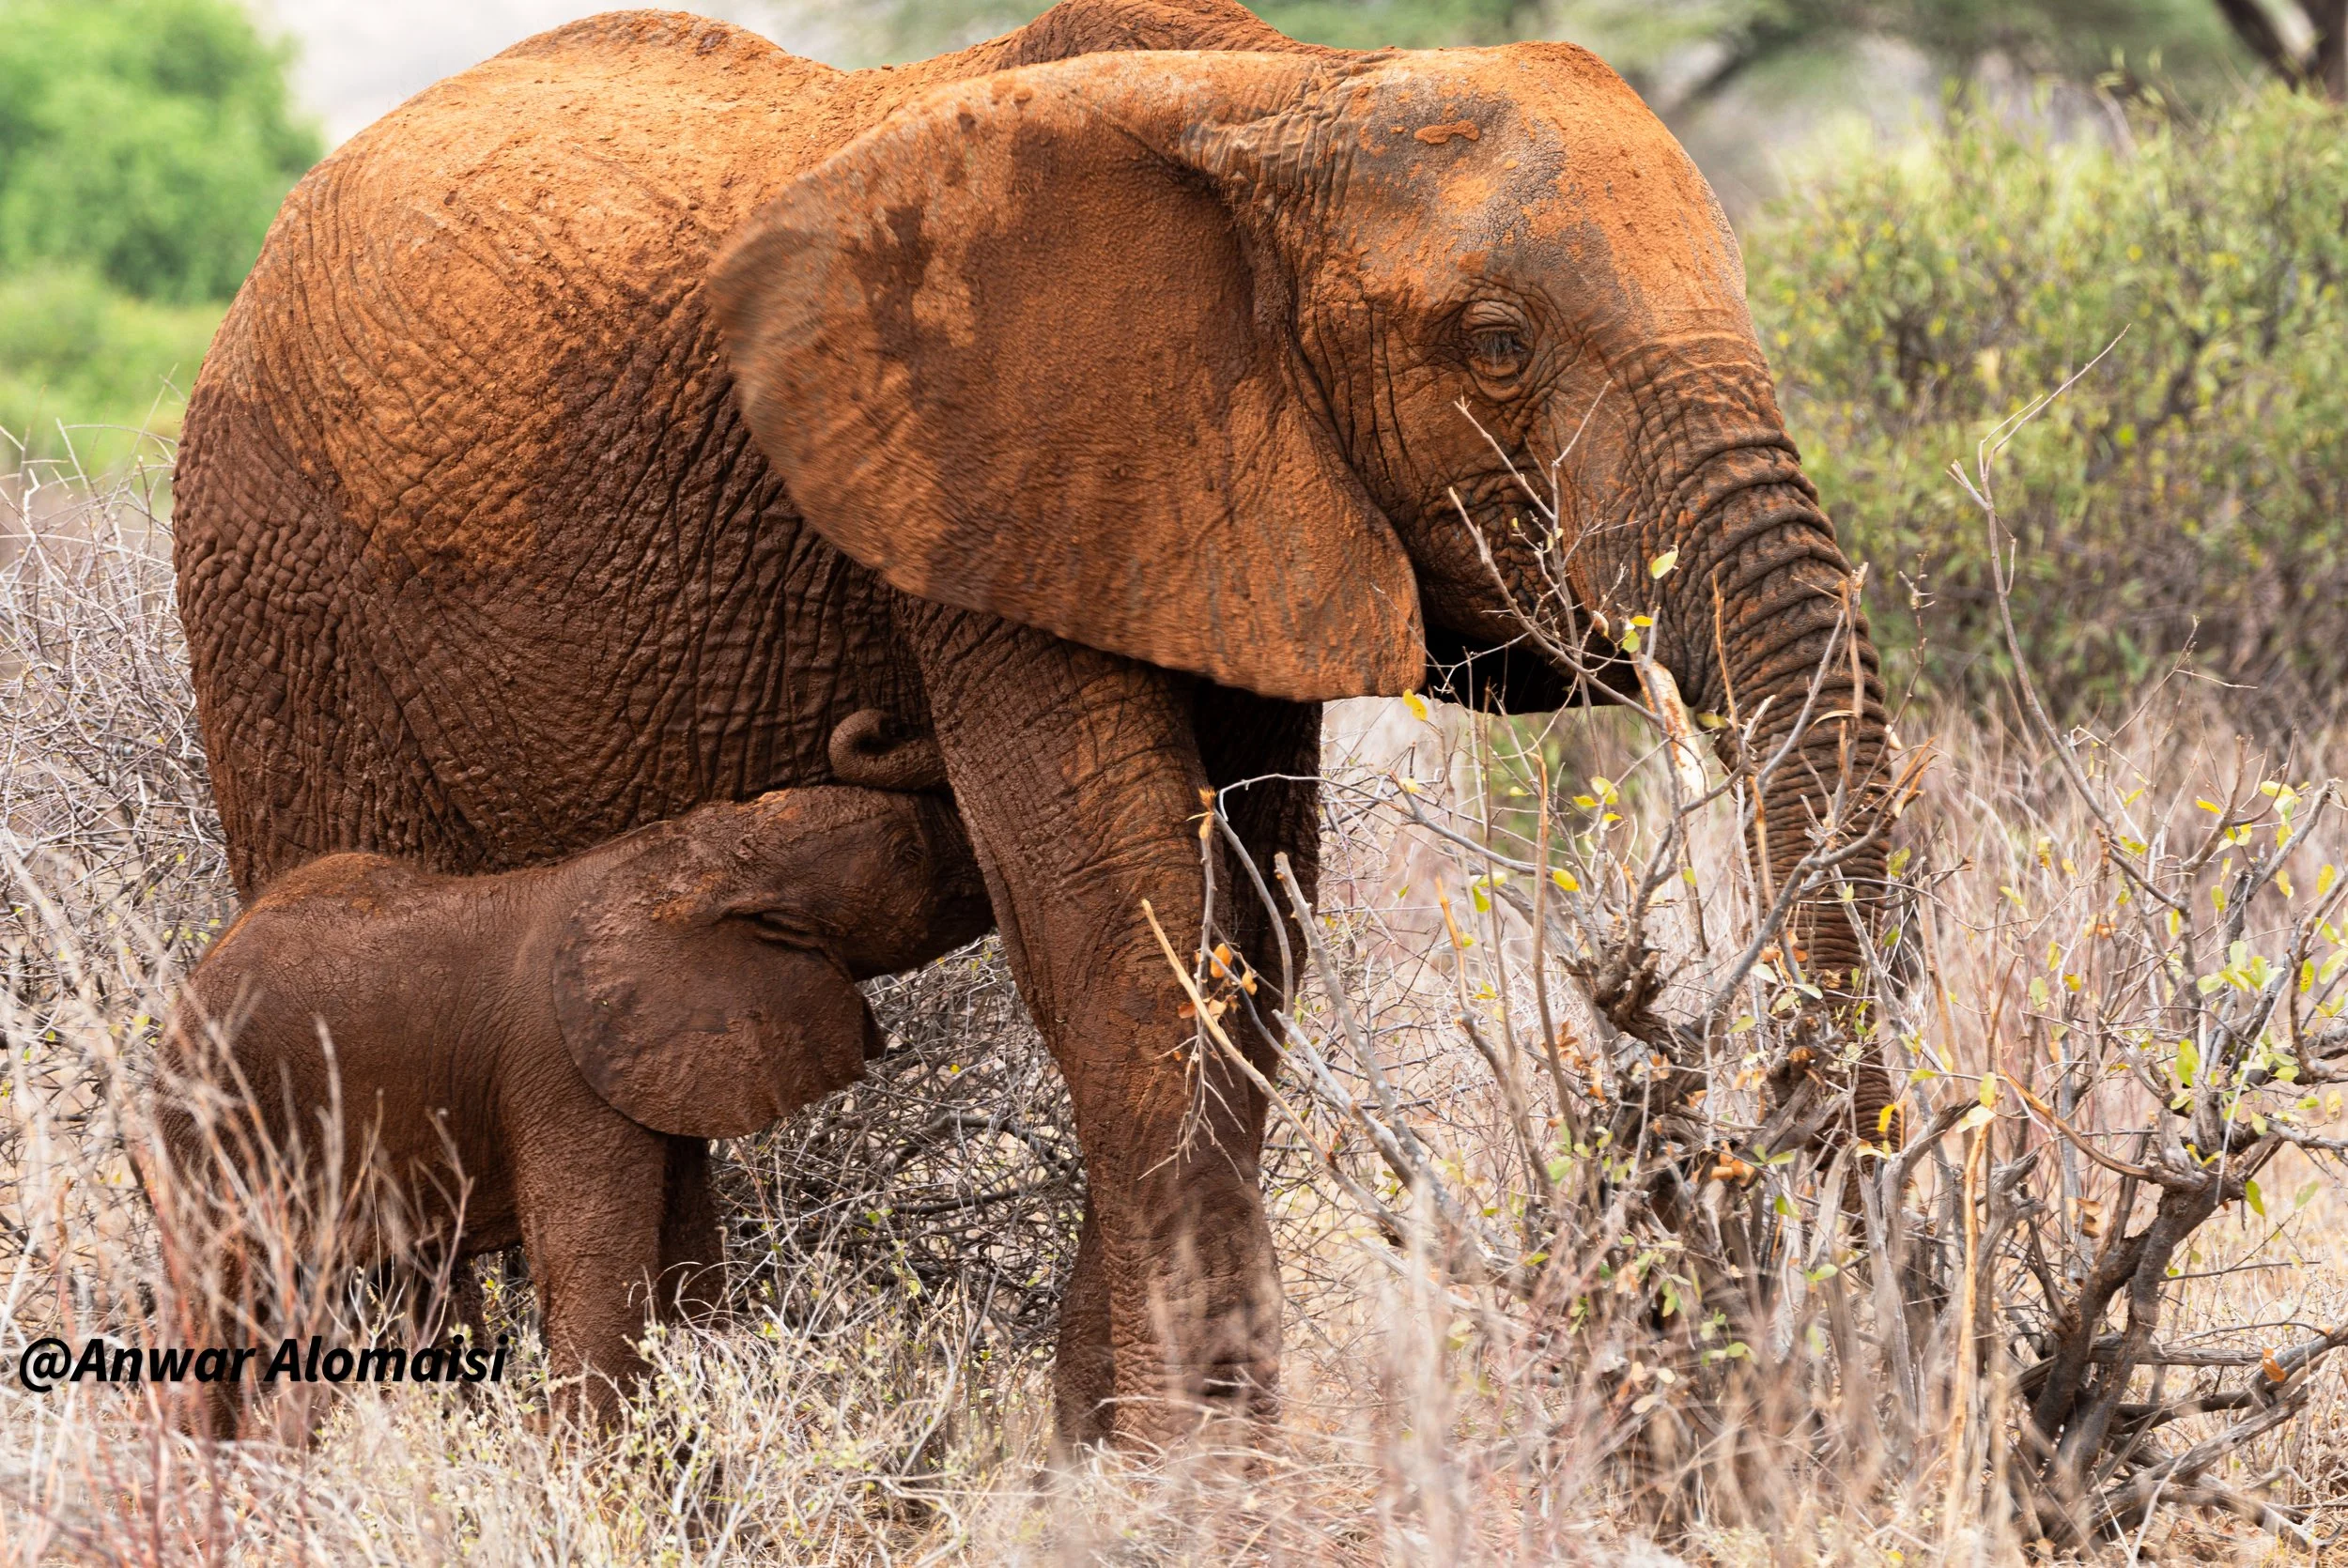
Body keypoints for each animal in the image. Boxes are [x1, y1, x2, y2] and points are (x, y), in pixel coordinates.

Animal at [147, 778, 992, 1435]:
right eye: (907, 853)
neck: (699, 856)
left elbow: (687, 1267)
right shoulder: (561, 1068)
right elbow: (595, 1279)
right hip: (213, 1126)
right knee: (222, 1307)